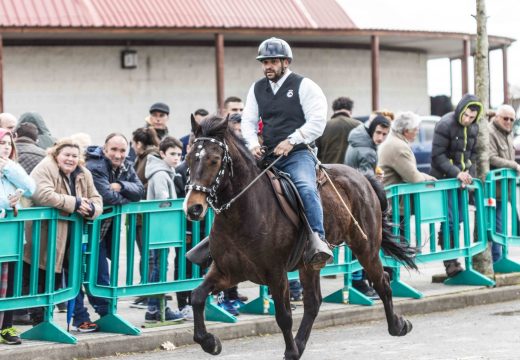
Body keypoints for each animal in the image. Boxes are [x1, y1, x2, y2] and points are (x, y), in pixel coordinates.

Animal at [185, 115, 416, 360]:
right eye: (189, 158)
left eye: (214, 160)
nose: (194, 208)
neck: (242, 213)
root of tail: (361, 177)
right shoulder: (227, 272)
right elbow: (197, 296)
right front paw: (209, 342)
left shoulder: (276, 275)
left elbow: (283, 316)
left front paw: (290, 350)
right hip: (309, 265)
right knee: (314, 303)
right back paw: (300, 344)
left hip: (366, 248)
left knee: (382, 282)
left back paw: (398, 325)